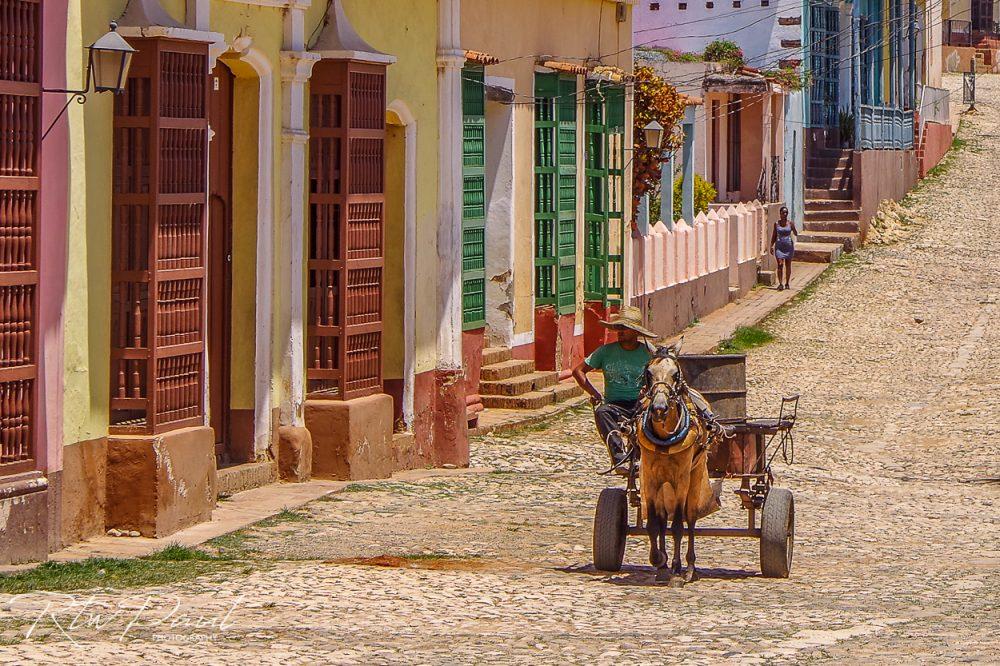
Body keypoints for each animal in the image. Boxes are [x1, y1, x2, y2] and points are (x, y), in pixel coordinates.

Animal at [640, 344, 720, 584]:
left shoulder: (682, 479)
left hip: (694, 477)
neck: (665, 438)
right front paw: (659, 560)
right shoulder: (650, 478)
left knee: (690, 519)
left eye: (675, 374)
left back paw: (689, 567)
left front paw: (676, 569)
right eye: (649, 373)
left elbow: (677, 526)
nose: (659, 408)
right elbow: (654, 524)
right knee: (662, 518)